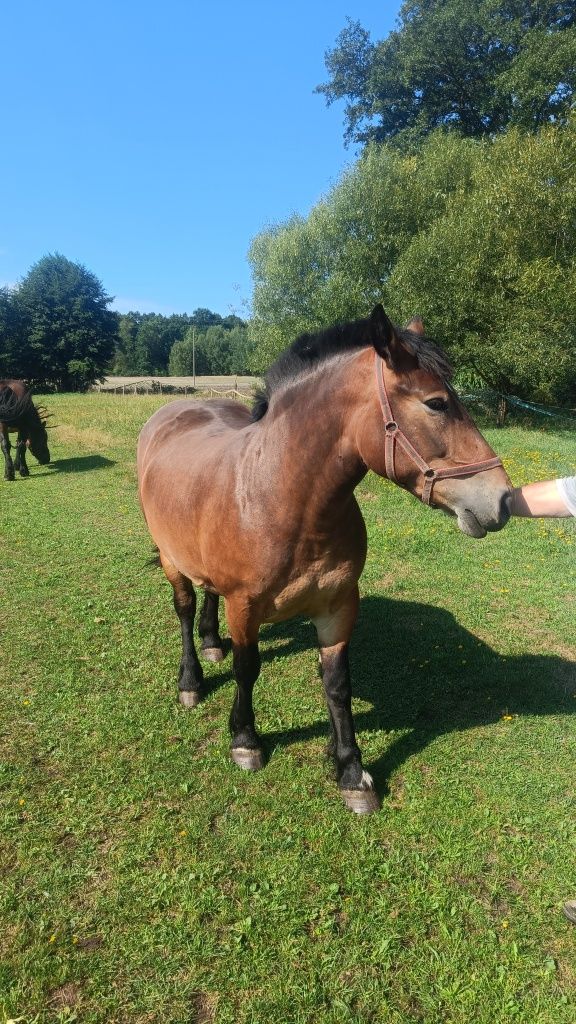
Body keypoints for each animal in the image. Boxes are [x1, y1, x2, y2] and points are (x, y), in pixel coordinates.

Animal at [136, 301, 508, 806]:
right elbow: (247, 668)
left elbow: (337, 684)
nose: (502, 499)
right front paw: (245, 740)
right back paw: (191, 679)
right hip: (171, 561)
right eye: (437, 403)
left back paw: (211, 643)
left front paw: (351, 769)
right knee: (185, 608)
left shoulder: (338, 607)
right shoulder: (244, 607)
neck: (281, 497)